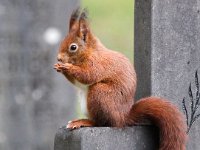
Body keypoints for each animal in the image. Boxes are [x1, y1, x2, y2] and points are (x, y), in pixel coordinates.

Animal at [53, 8, 188, 149]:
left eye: (73, 47)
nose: (59, 58)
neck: (90, 52)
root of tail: (123, 118)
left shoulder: (97, 64)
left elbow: (88, 76)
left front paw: (67, 67)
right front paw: (59, 66)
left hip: (100, 94)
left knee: (103, 123)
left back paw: (84, 122)